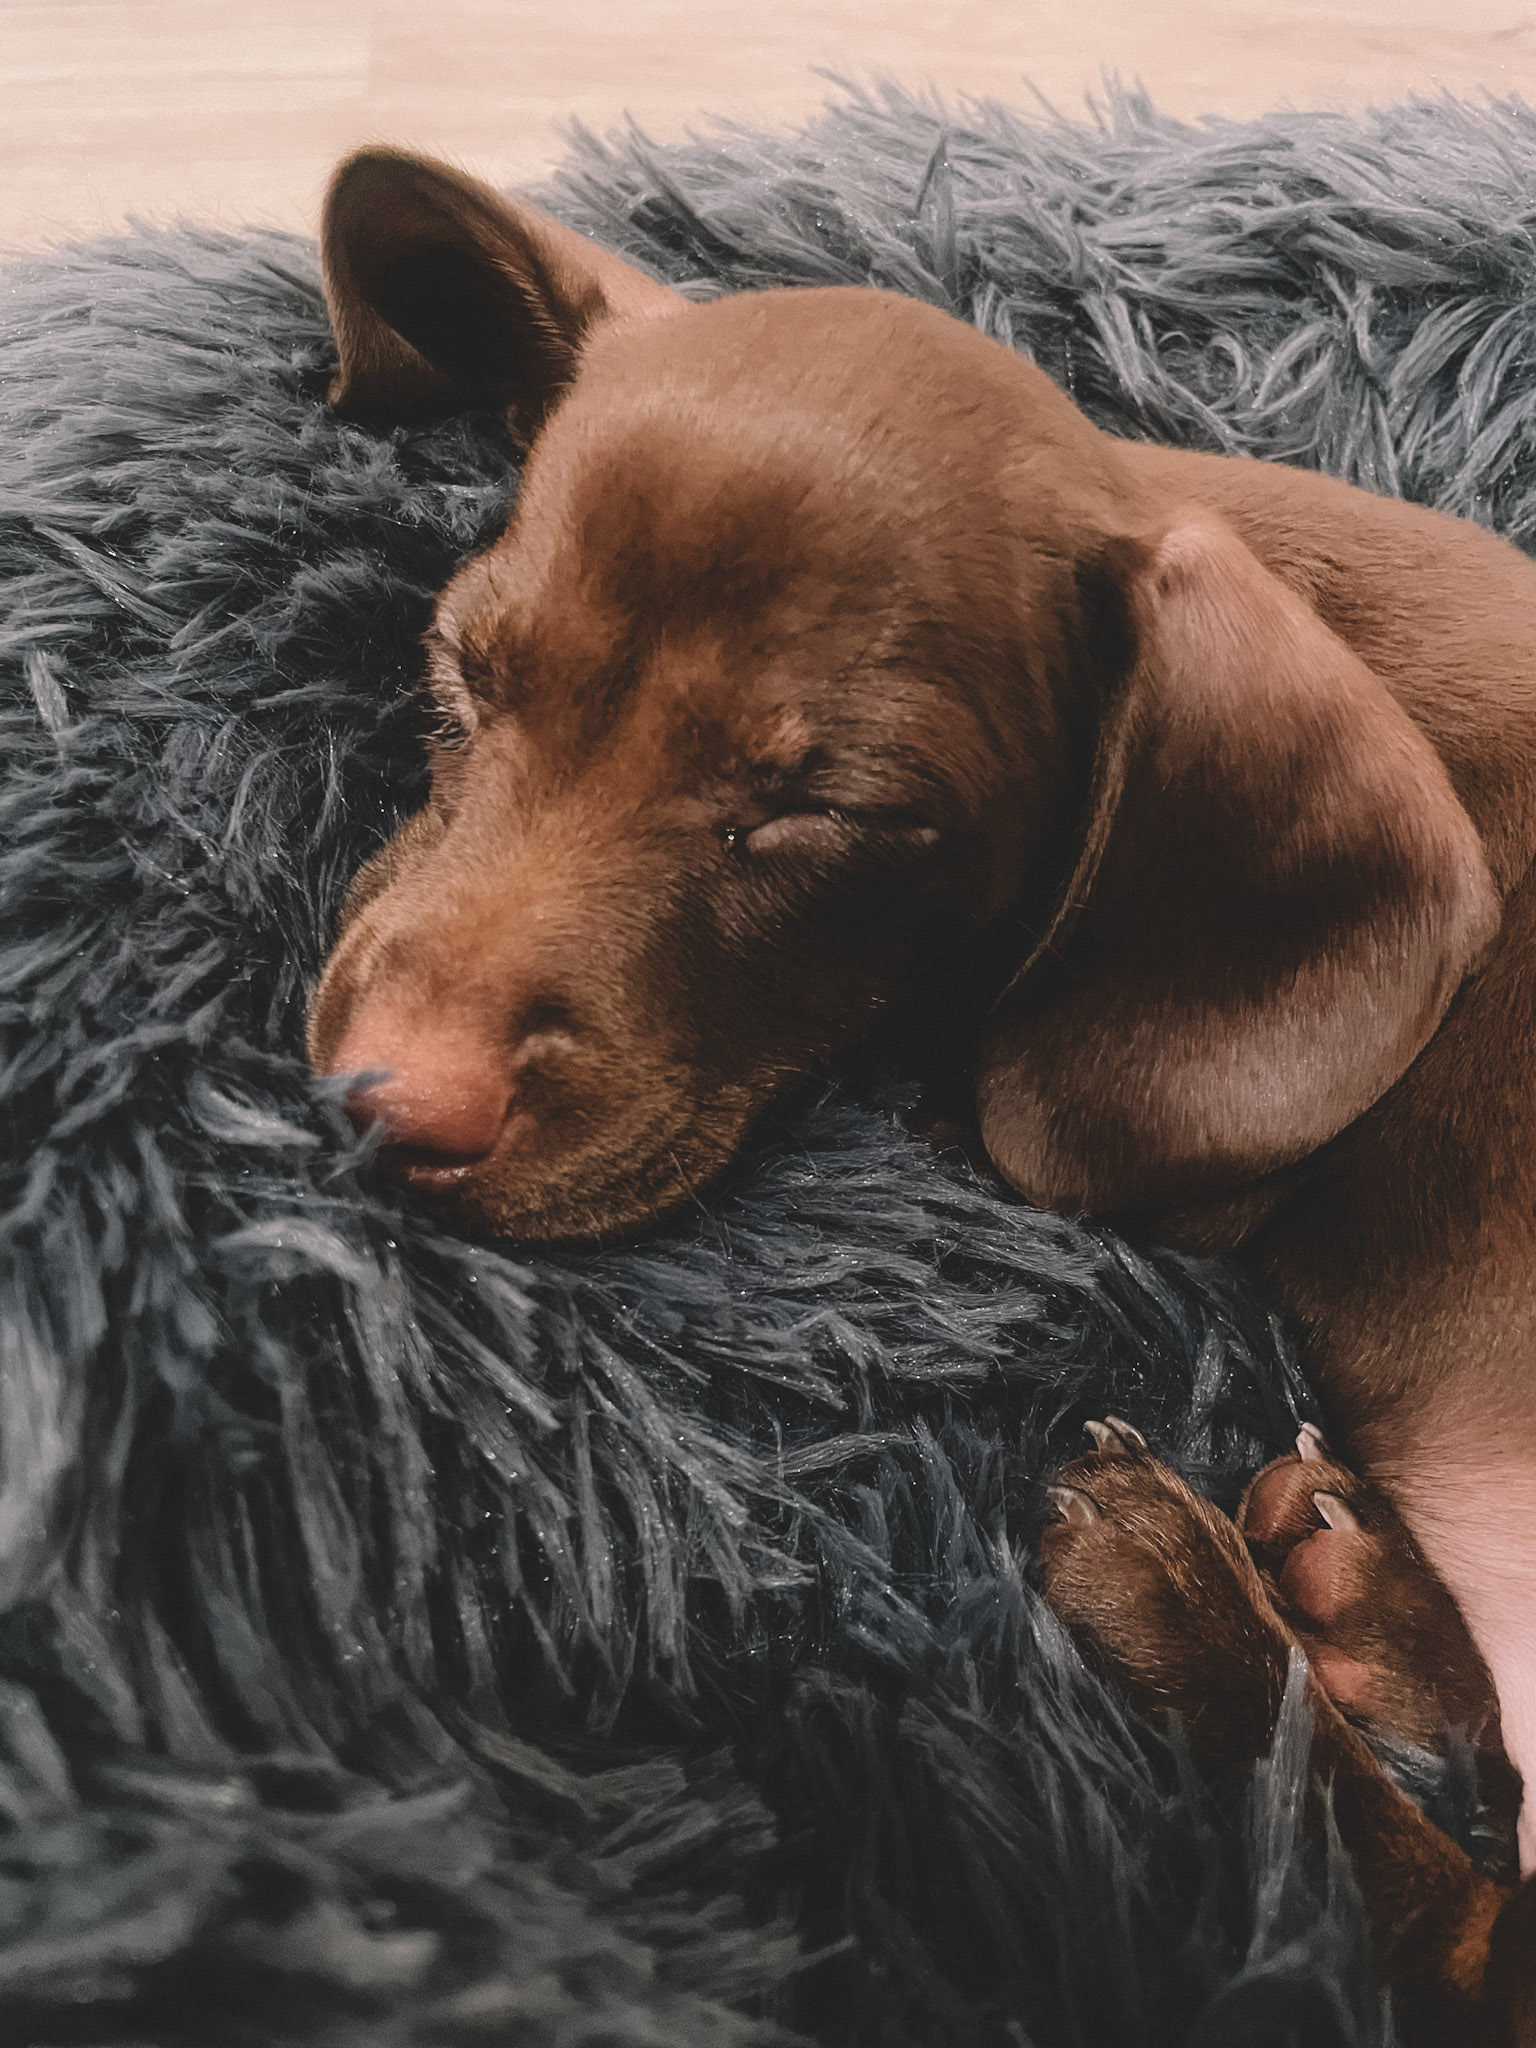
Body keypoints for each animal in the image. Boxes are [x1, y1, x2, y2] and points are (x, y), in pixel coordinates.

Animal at [307, 147, 1536, 2041]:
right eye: (464, 673)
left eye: (828, 814)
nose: (383, 1111)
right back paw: (1365, 1594)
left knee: (1444, 1925)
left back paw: (1203, 1612)